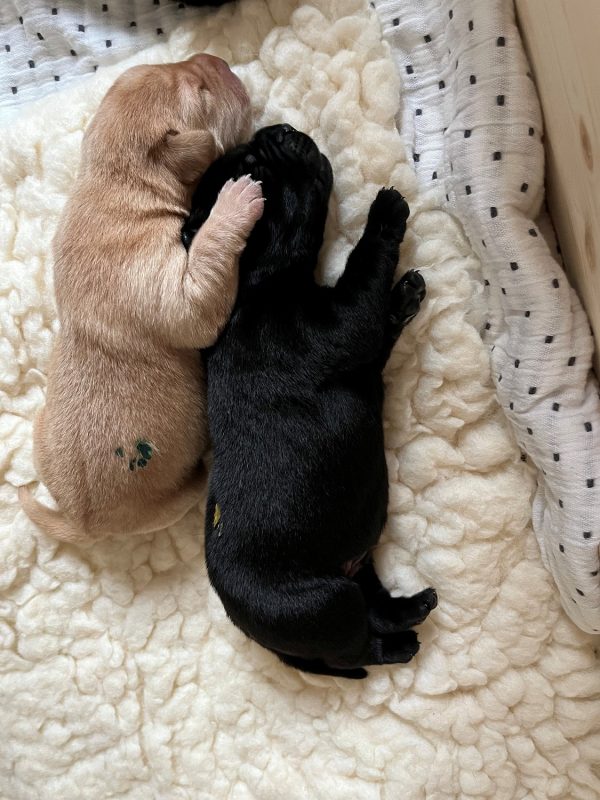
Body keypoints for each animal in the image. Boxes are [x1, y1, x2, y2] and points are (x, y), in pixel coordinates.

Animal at [19, 55, 264, 543]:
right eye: (202, 92)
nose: (220, 60)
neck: (117, 180)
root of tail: (79, 522)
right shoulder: (173, 289)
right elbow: (202, 284)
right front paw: (234, 200)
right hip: (166, 506)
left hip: (41, 439)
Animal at [182, 124, 436, 679]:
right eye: (254, 168)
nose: (275, 128)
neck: (253, 285)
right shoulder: (339, 324)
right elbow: (363, 281)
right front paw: (385, 214)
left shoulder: (362, 354)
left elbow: (380, 324)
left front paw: (405, 295)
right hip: (323, 604)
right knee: (356, 645)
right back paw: (398, 647)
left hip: (353, 565)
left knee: (373, 603)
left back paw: (412, 607)